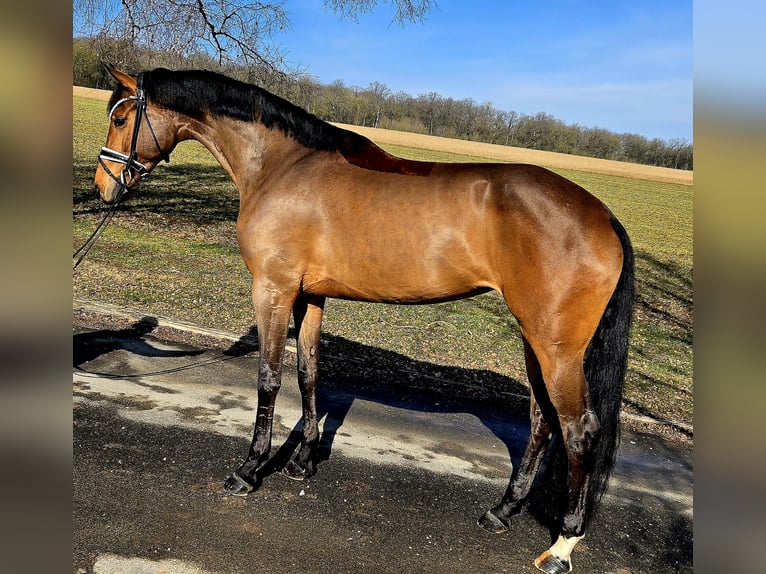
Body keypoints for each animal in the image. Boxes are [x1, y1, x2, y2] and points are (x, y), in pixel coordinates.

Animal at [94, 65, 636, 572]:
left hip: (556, 348)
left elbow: (269, 377)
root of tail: (604, 215)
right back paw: (502, 511)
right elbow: (308, 371)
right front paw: (303, 462)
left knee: (578, 430)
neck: (282, 166)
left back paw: (562, 544)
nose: (103, 185)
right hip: (532, 338)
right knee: (542, 421)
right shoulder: (308, 296)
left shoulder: (272, 290)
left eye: (120, 118)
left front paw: (249, 470)